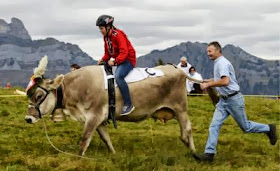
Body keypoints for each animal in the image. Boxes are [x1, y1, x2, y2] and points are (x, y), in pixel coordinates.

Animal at [25, 56, 211, 156]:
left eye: (39, 95)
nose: (28, 118)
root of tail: (176, 69)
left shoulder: (93, 116)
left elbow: (84, 140)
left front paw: (79, 158)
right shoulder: (99, 119)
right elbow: (106, 138)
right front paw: (113, 154)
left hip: (181, 108)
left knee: (187, 129)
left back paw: (193, 151)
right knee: (183, 132)